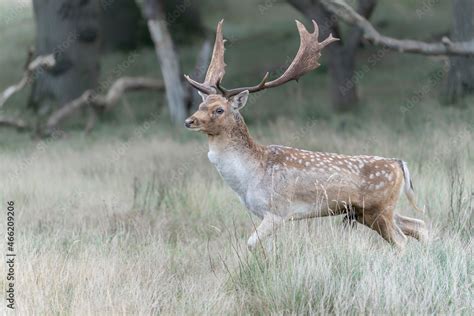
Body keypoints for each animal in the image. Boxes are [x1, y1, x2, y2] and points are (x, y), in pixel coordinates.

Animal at [183, 20, 428, 252]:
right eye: (201, 105)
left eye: (219, 110)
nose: (189, 121)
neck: (249, 177)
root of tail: (399, 164)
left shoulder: (278, 210)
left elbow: (251, 244)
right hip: (372, 211)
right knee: (420, 225)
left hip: (378, 207)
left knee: (402, 240)